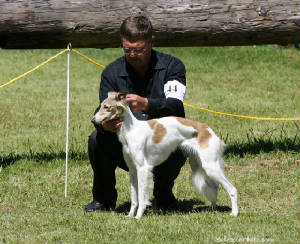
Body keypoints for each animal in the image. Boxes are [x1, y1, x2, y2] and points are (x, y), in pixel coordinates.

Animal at [92, 92, 238, 218]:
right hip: (202, 165)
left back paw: (234, 213)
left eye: (106, 107)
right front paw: (130, 215)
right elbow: (134, 198)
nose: (93, 121)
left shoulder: (142, 169)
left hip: (210, 166)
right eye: (101, 105)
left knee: (232, 189)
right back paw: (212, 208)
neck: (131, 129)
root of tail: (209, 131)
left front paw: (138, 216)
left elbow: (141, 197)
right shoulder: (133, 170)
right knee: (215, 187)